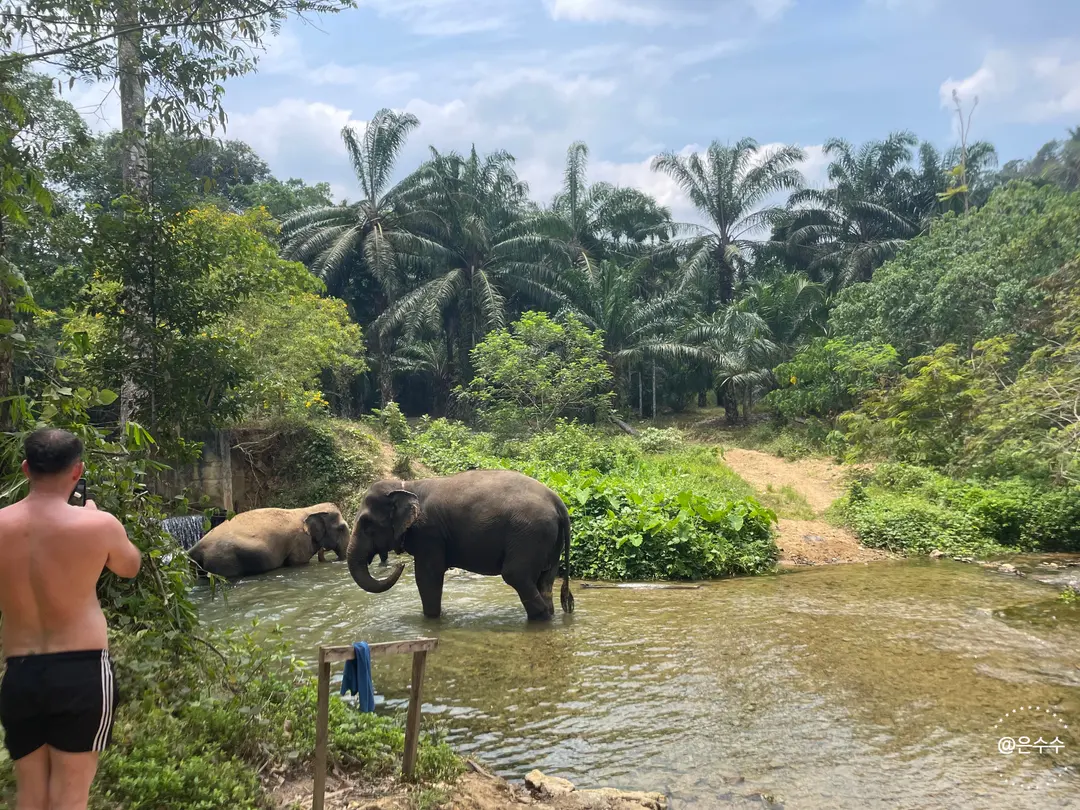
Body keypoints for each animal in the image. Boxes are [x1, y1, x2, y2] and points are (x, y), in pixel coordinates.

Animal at [188, 503, 350, 577]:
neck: (309, 509)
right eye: (341, 528)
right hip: (223, 561)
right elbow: (298, 562)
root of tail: (194, 549)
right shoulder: (300, 542)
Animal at [348, 469, 575, 621]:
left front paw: (431, 620)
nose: (399, 564)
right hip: (549, 541)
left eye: (367, 524)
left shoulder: (429, 534)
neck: (407, 486)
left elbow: (428, 577)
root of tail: (558, 502)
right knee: (545, 581)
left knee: (515, 575)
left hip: (529, 533)